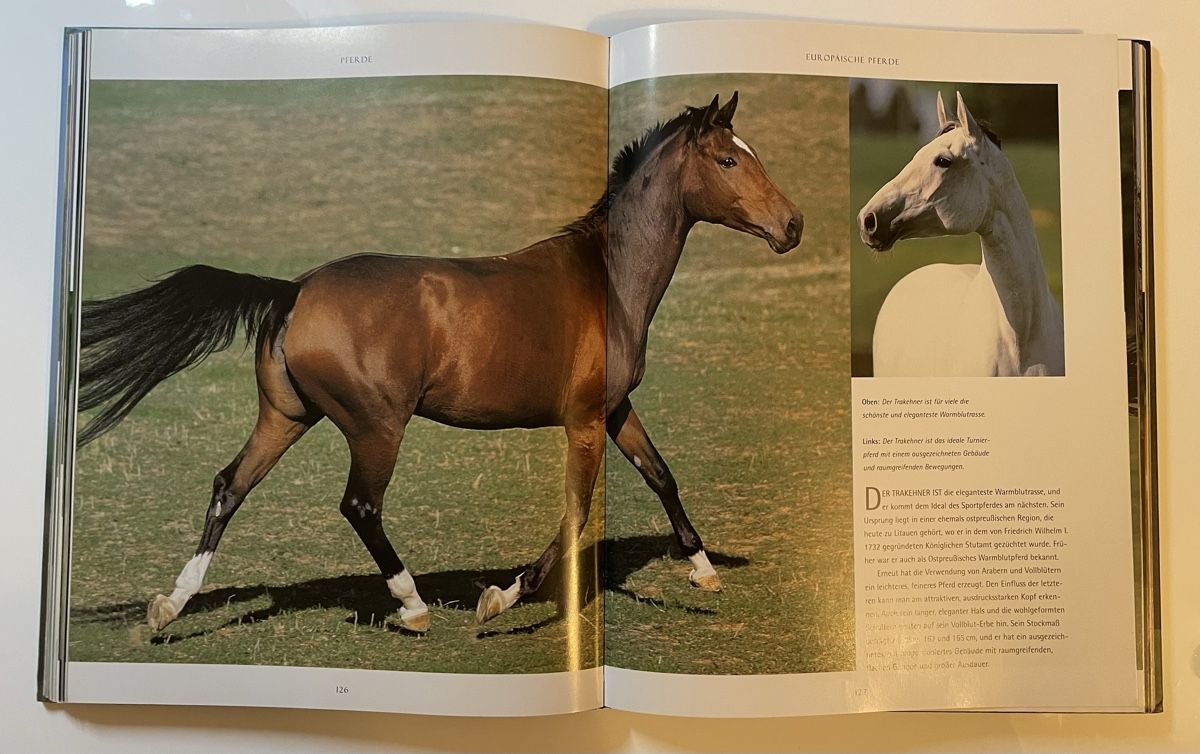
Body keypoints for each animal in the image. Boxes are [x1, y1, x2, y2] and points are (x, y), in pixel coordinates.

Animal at [77, 92, 803, 635]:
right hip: (376, 427)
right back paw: (414, 605)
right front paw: (502, 598)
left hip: (286, 416)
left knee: (229, 486)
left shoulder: (616, 409)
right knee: (360, 506)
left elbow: (661, 477)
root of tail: (295, 290)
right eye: (727, 159)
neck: (608, 280)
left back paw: (169, 606)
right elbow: (576, 511)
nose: (793, 225)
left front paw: (703, 569)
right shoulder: (583, 421)